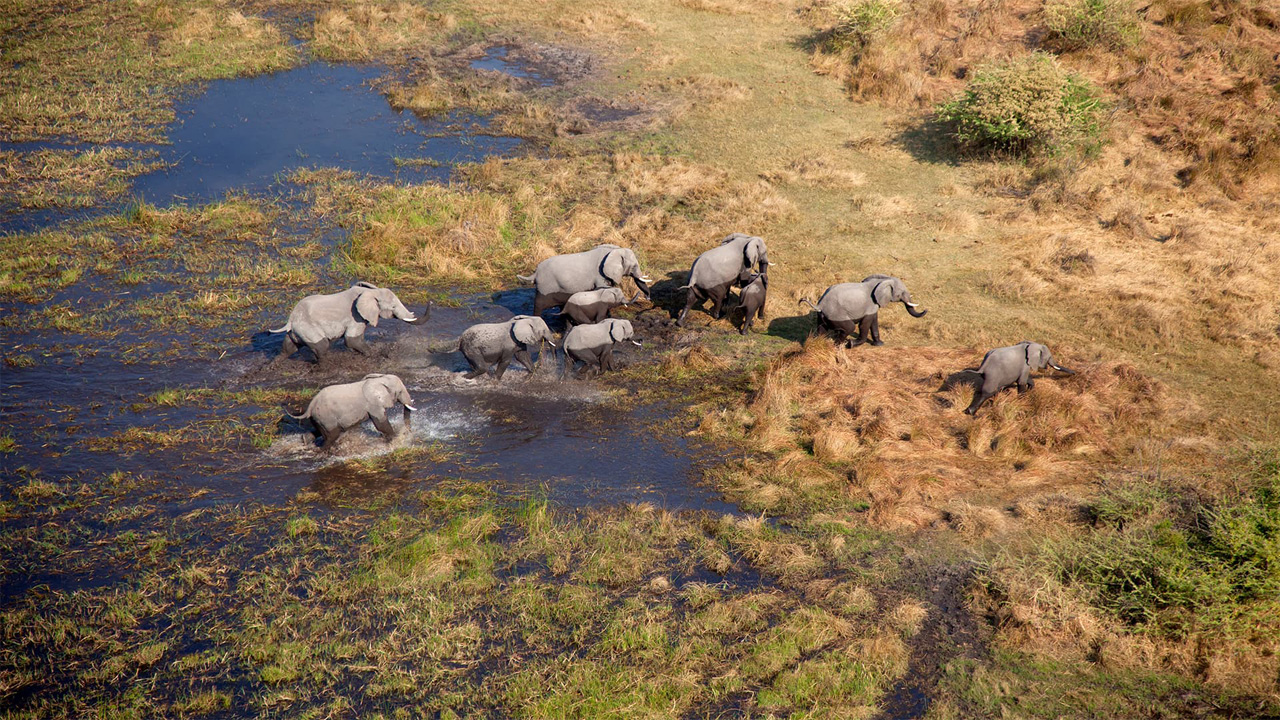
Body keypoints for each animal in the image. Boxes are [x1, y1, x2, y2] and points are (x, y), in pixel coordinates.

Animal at [270, 279, 430, 358]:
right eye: (393, 307)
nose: (430, 302)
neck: (370, 292)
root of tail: (291, 320)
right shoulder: (355, 316)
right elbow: (352, 340)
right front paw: (376, 356)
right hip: (307, 328)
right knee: (321, 347)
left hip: (298, 331)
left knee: (288, 348)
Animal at [286, 368, 414, 448]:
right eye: (400, 392)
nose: (407, 433)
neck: (380, 379)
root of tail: (310, 406)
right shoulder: (373, 404)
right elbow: (381, 424)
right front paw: (396, 439)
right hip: (326, 416)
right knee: (331, 436)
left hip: (318, 417)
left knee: (321, 431)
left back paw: (305, 440)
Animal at [517, 243, 655, 313]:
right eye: (634, 266)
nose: (647, 297)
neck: (615, 250)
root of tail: (535, 273)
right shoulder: (600, 274)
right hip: (546, 286)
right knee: (539, 304)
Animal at [793, 272, 926, 345]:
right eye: (900, 294)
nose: (926, 310)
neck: (882, 280)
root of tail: (820, 305)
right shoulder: (869, 304)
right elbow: (865, 324)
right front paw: (852, 344)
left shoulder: (873, 305)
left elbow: (874, 321)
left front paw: (879, 344)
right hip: (837, 314)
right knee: (849, 328)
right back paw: (840, 346)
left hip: (822, 316)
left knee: (821, 330)